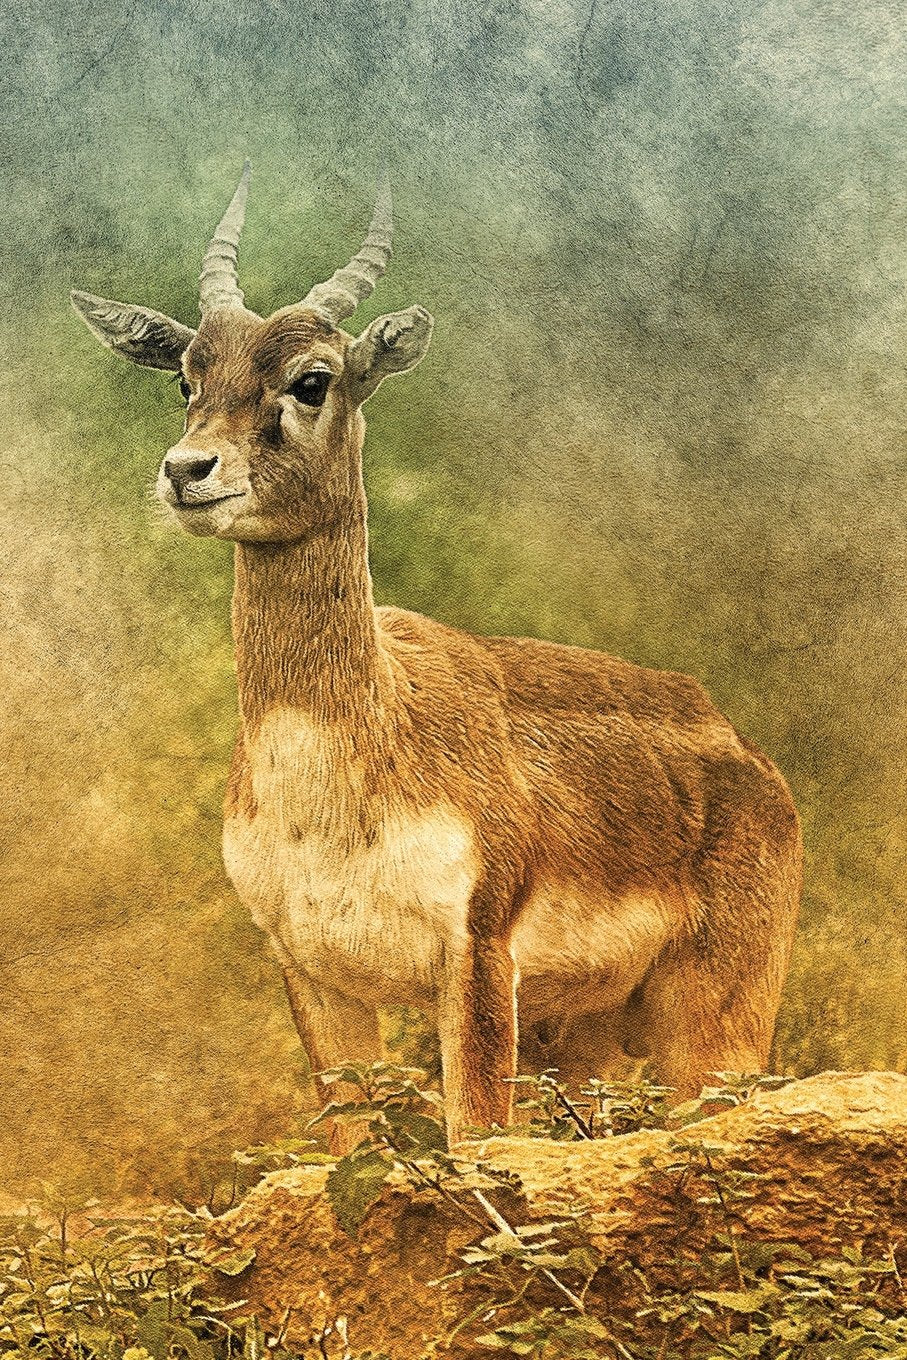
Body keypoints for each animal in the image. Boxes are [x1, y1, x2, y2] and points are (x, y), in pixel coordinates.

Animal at [71, 165, 802, 1147]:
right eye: (186, 377)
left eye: (313, 379)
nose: (189, 472)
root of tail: (745, 751)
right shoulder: (311, 971)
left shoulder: (477, 956)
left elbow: (475, 1146)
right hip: (584, 1034)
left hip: (714, 1020)